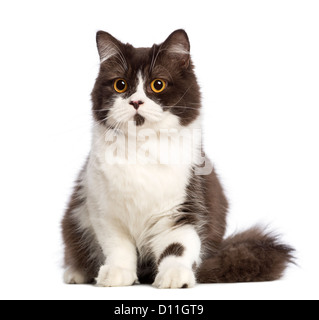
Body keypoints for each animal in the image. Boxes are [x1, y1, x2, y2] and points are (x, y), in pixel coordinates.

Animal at [61, 30, 294, 288]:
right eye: (120, 85)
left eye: (158, 85)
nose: (136, 102)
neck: (141, 148)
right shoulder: (104, 212)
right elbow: (118, 247)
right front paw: (117, 273)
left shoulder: (182, 209)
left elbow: (178, 246)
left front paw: (175, 275)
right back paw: (76, 273)